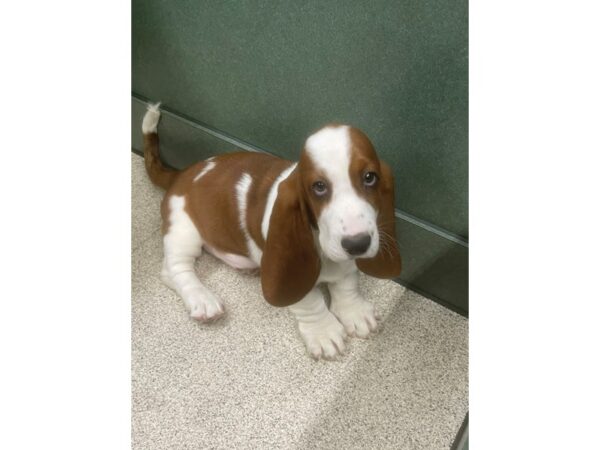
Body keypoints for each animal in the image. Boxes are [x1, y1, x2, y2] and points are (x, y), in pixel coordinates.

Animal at [142, 103, 400, 360]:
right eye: (318, 187)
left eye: (370, 178)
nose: (357, 244)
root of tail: (180, 173)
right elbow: (310, 301)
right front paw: (323, 331)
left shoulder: (346, 261)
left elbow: (346, 284)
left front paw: (354, 311)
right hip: (183, 229)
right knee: (174, 269)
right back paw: (202, 299)